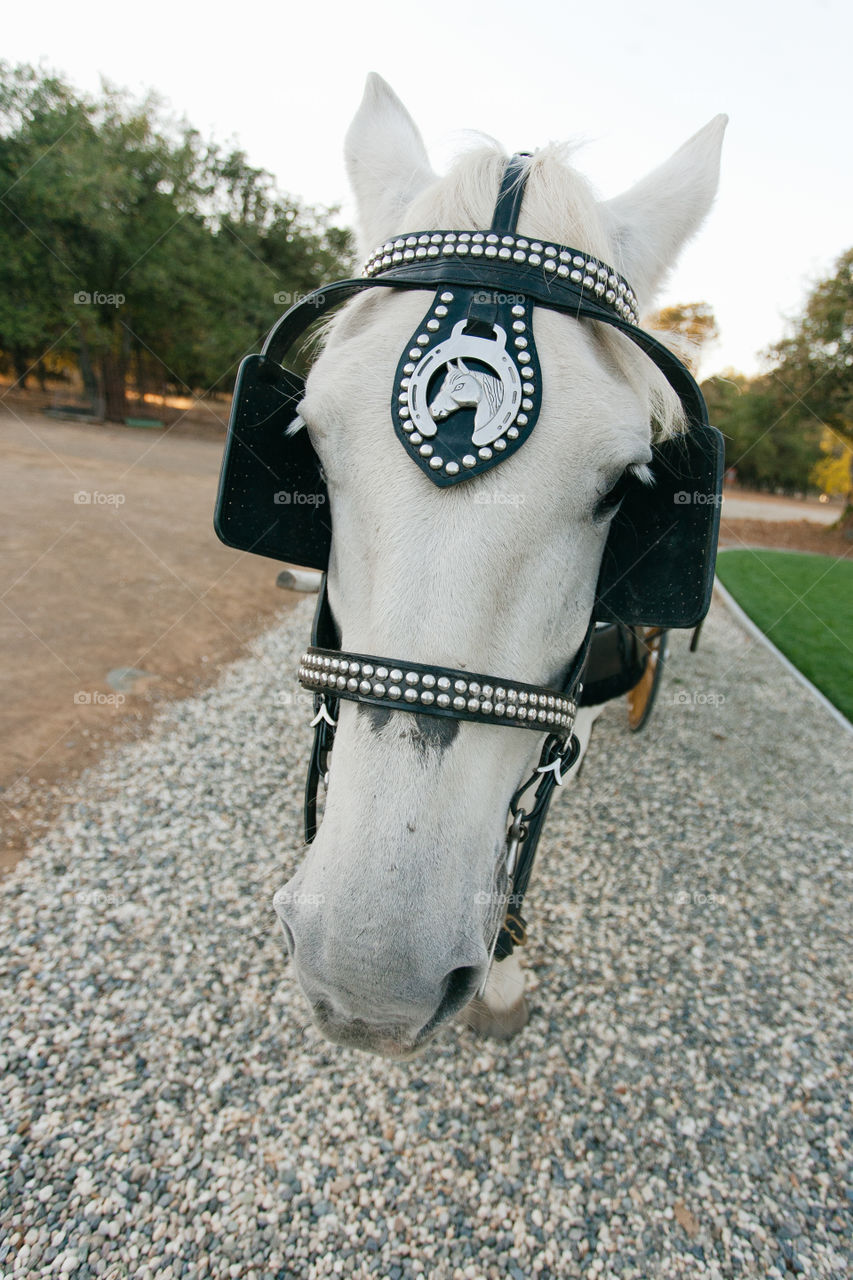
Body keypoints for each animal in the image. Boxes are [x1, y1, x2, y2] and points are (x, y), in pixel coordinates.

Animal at [274, 72, 722, 1059]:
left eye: (624, 485)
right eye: (311, 442)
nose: (370, 972)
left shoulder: (571, 715)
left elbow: (532, 820)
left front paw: (506, 969)